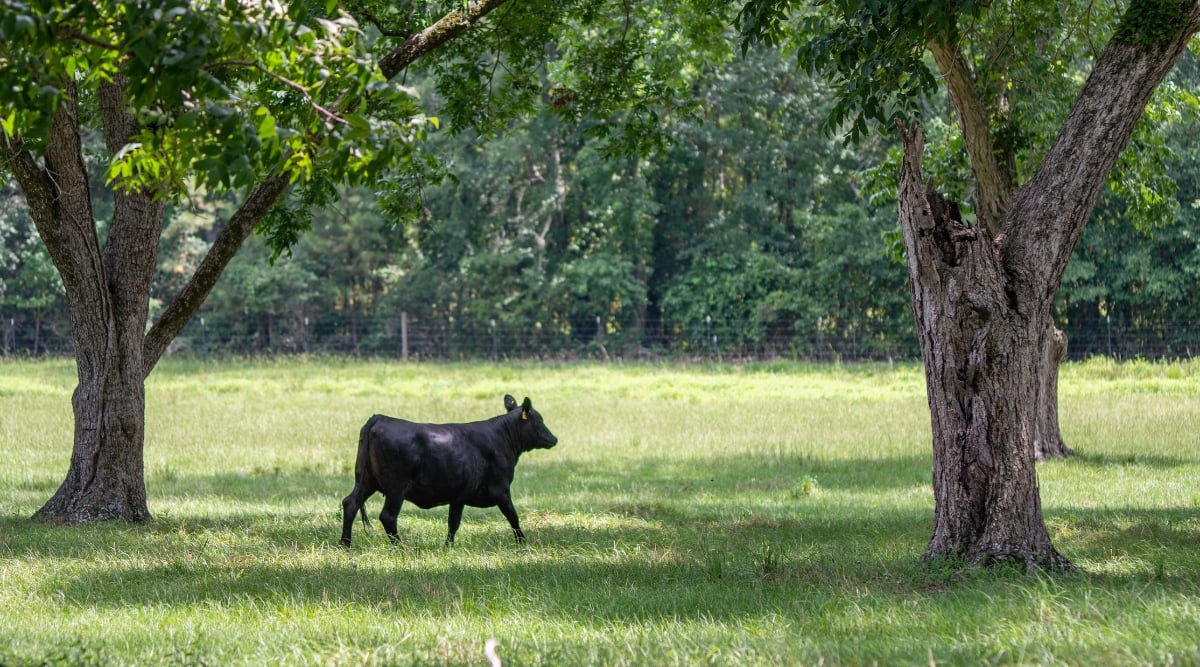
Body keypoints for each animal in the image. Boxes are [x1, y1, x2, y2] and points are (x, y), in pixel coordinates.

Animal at [340, 393, 559, 544]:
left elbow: (453, 522)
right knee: (388, 516)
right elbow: (513, 516)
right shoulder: (500, 488)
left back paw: (345, 544)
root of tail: (380, 418)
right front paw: (523, 543)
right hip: (396, 487)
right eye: (539, 420)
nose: (554, 439)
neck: (502, 437)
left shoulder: (459, 495)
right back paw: (400, 547)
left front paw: (448, 546)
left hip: (366, 480)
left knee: (350, 503)